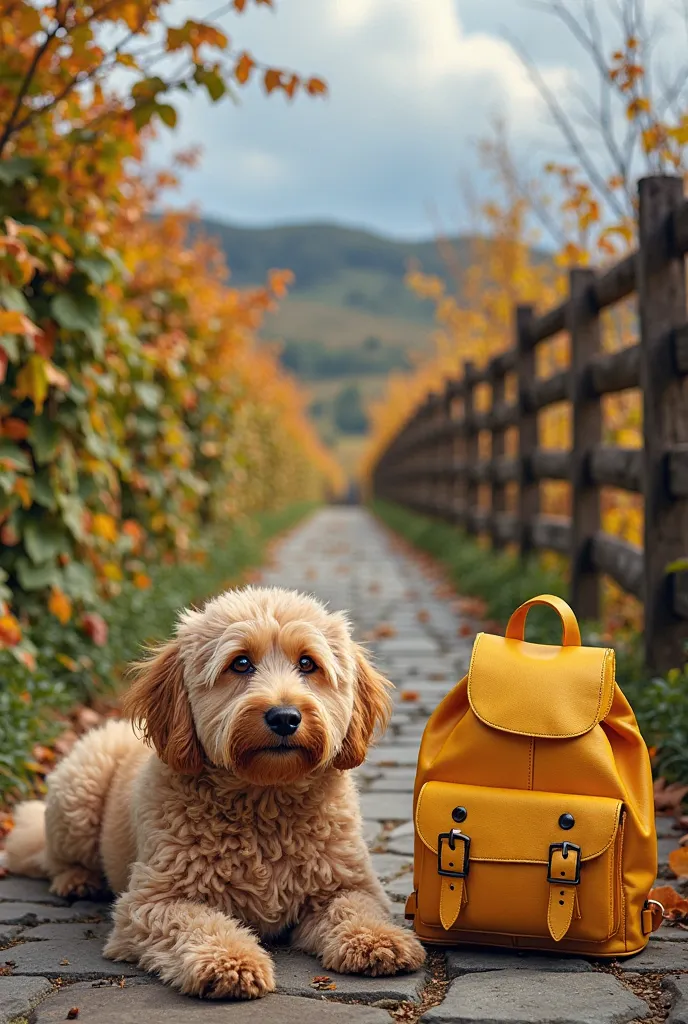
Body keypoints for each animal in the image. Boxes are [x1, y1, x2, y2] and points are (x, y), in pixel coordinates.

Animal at [4, 589, 423, 995]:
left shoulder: (348, 885)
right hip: (78, 792)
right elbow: (198, 922)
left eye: (308, 664)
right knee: (49, 856)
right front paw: (230, 961)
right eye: (240, 663)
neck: (265, 799)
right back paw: (76, 880)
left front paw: (378, 939)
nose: (284, 717)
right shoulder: (151, 903)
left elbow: (356, 907)